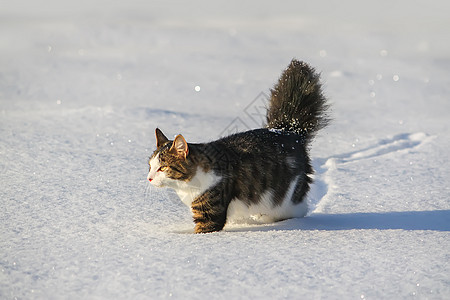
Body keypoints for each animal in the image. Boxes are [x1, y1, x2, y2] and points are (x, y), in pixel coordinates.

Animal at [149, 58, 330, 232]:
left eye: (162, 168)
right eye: (150, 166)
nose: (149, 178)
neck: (186, 185)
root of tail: (288, 130)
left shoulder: (210, 210)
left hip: (287, 200)